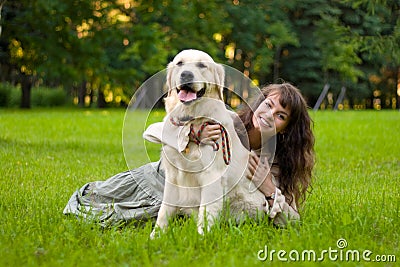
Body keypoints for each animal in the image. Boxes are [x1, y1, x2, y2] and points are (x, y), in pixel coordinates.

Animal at [145, 49, 268, 238]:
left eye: (202, 65)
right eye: (180, 63)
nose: (186, 74)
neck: (192, 120)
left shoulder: (212, 174)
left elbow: (207, 209)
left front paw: (202, 236)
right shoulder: (173, 175)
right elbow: (164, 209)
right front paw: (157, 235)